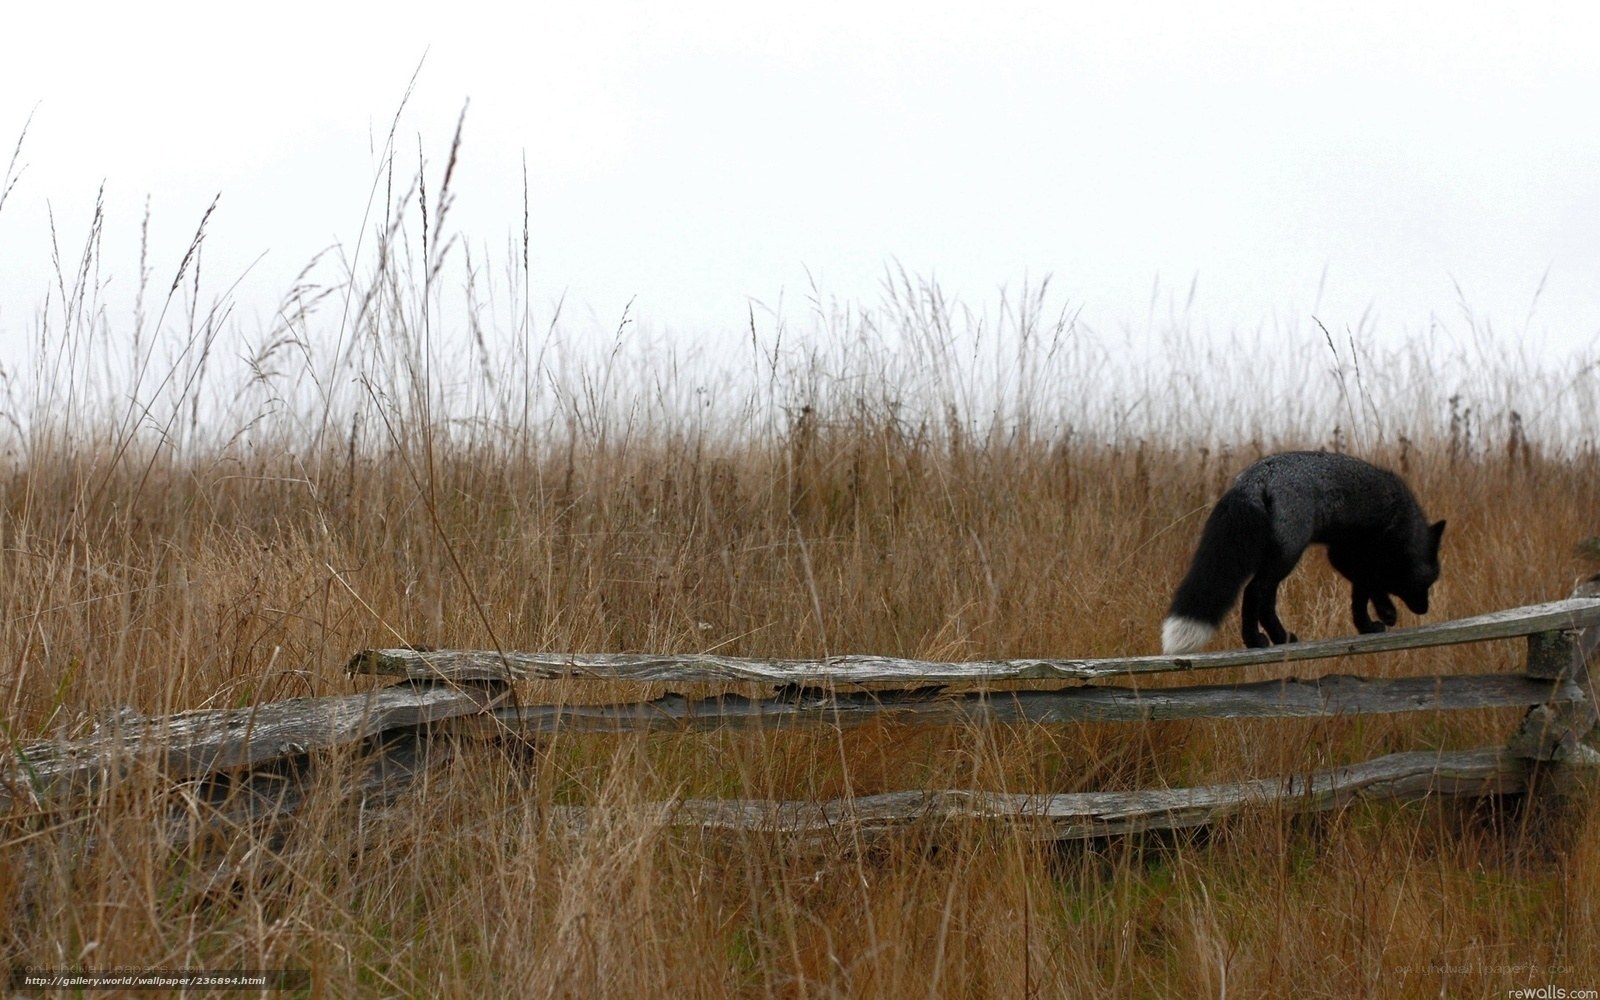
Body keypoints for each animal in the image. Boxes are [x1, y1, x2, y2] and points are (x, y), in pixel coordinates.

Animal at [1161, 451, 1445, 654]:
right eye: (1427, 582)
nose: (1424, 609)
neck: (1404, 522)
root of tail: (1256, 477)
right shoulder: (1356, 557)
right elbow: (1369, 588)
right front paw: (1383, 615)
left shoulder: (1344, 556)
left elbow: (1361, 594)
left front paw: (1367, 625)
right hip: (1288, 555)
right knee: (1254, 591)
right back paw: (1255, 641)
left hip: (1276, 558)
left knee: (1266, 600)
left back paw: (1280, 637)